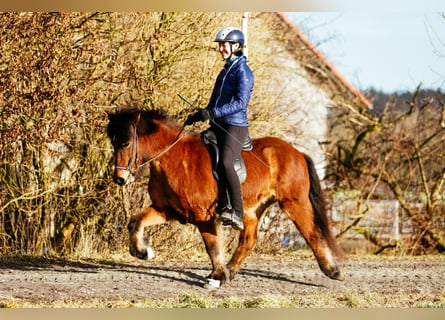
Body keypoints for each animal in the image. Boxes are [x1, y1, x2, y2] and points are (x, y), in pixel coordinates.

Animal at [106, 108, 346, 288]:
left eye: (126, 143)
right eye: (113, 143)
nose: (120, 179)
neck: (173, 158)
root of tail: (297, 153)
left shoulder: (203, 215)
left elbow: (212, 246)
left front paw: (218, 276)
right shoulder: (167, 209)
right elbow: (135, 221)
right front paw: (142, 252)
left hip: (293, 202)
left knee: (312, 233)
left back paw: (333, 271)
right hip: (252, 209)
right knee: (248, 239)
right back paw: (231, 269)